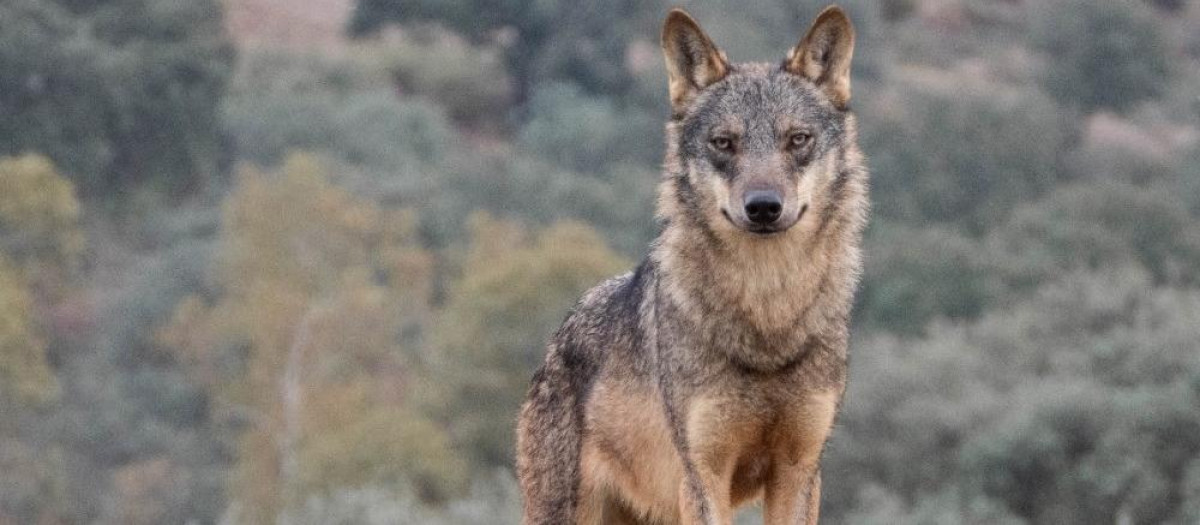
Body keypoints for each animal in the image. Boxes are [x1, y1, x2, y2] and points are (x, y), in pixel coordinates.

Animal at [516, 5, 868, 524]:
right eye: (724, 143)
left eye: (797, 139)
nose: (763, 207)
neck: (767, 316)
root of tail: (556, 339)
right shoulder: (703, 472)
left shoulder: (800, 471)